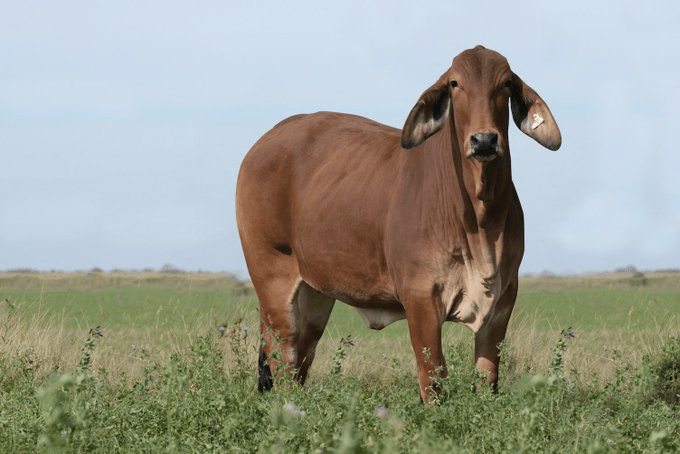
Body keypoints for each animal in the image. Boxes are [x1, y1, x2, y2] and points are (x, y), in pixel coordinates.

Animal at [235, 45, 561, 401]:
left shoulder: (503, 299)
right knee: (281, 352)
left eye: (505, 84)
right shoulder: (420, 297)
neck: (480, 219)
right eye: (455, 84)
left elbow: (487, 378)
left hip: (314, 292)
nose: (485, 140)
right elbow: (433, 377)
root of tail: (264, 142)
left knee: (300, 356)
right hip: (272, 277)